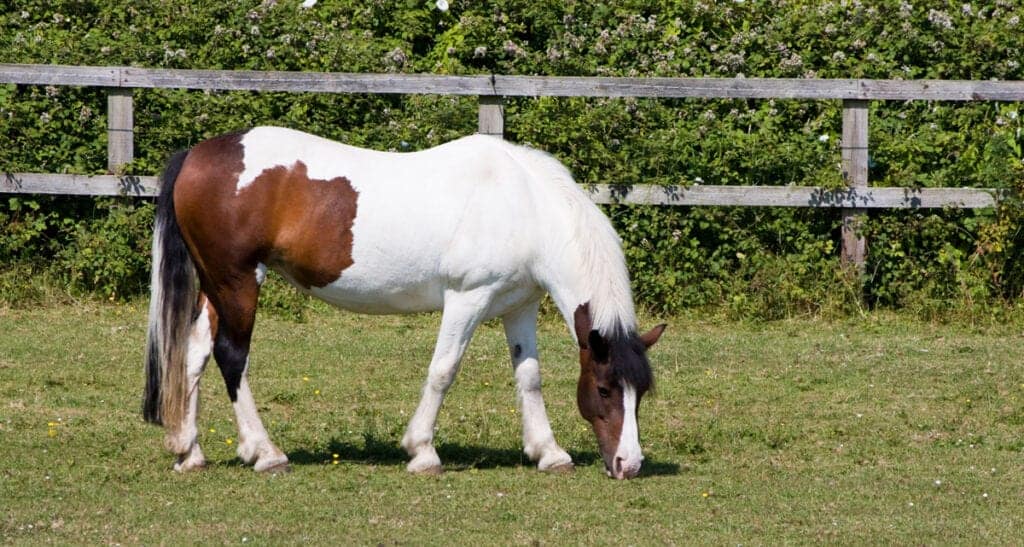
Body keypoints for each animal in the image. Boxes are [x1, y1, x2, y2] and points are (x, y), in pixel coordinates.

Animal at [142, 126, 666, 479]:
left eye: (640, 393)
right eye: (604, 390)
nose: (629, 463)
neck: (527, 206)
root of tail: (197, 154)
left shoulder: (518, 306)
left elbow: (529, 377)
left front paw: (548, 452)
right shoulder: (467, 298)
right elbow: (443, 371)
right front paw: (422, 452)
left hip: (218, 286)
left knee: (194, 352)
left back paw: (189, 451)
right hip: (238, 281)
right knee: (232, 357)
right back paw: (265, 453)